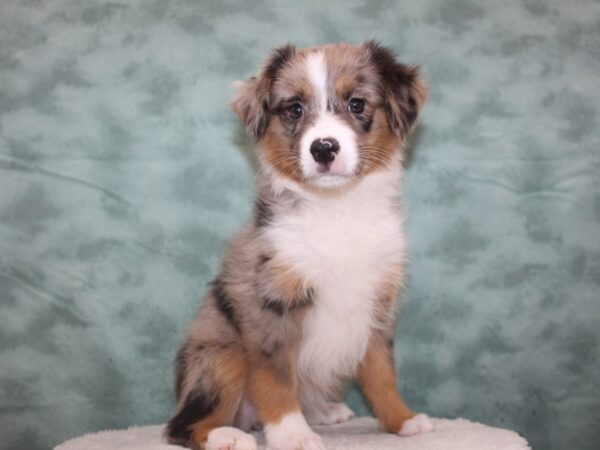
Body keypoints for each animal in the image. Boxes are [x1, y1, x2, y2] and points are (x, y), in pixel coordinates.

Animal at [165, 42, 432, 450]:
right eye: (294, 109)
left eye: (356, 103)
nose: (323, 148)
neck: (336, 207)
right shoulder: (271, 303)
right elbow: (276, 379)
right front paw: (292, 434)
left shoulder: (377, 304)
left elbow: (382, 371)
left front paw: (402, 419)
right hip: (222, 354)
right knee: (180, 426)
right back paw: (227, 435)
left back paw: (324, 411)